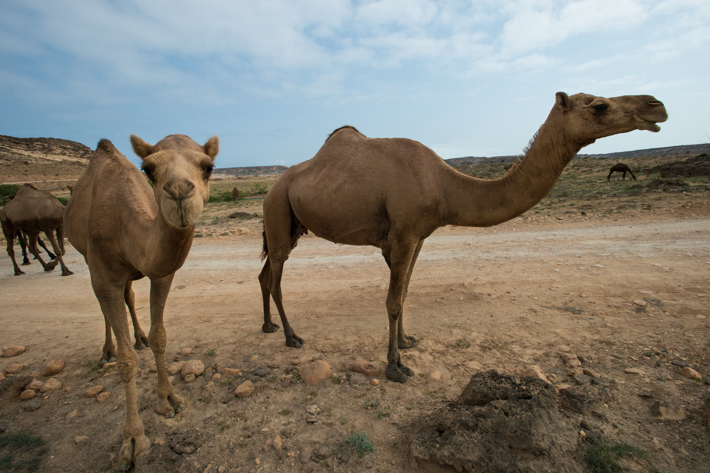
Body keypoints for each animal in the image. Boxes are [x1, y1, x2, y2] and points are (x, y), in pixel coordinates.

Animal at [64, 133, 220, 468]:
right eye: (148, 169)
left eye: (208, 167)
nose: (179, 191)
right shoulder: (103, 273)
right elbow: (126, 361)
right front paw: (133, 439)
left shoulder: (161, 273)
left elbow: (160, 336)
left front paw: (169, 399)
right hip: (87, 258)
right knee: (106, 309)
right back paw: (107, 350)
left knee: (129, 295)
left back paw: (138, 338)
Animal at [260, 92, 668, 384]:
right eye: (600, 105)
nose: (657, 106)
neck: (446, 186)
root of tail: (273, 186)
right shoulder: (404, 235)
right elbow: (393, 301)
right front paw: (396, 368)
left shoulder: (418, 237)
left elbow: (404, 294)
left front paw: (407, 343)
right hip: (277, 209)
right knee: (276, 276)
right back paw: (292, 337)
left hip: (292, 224)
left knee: (265, 275)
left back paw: (268, 327)